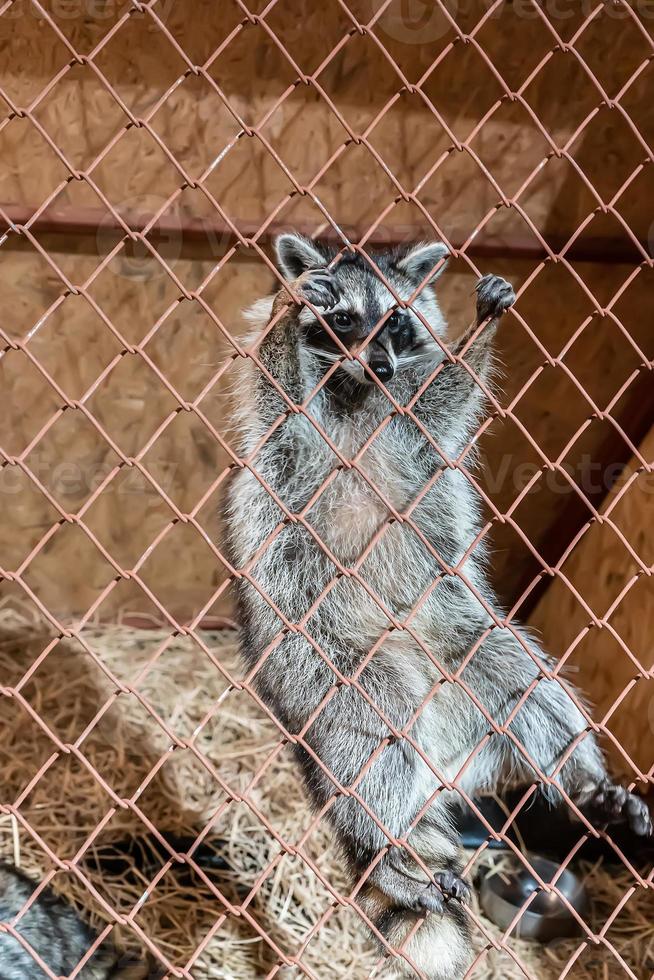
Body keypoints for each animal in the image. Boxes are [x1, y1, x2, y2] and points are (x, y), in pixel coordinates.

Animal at [224, 234, 652, 976]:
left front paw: (479, 336)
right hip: (324, 666)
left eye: (397, 323)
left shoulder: (413, 422)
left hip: (459, 633)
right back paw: (390, 847)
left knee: (524, 682)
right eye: (346, 321)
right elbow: (276, 380)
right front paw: (288, 315)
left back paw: (581, 783)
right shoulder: (282, 432)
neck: (358, 393)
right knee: (374, 743)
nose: (384, 361)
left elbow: (448, 403)